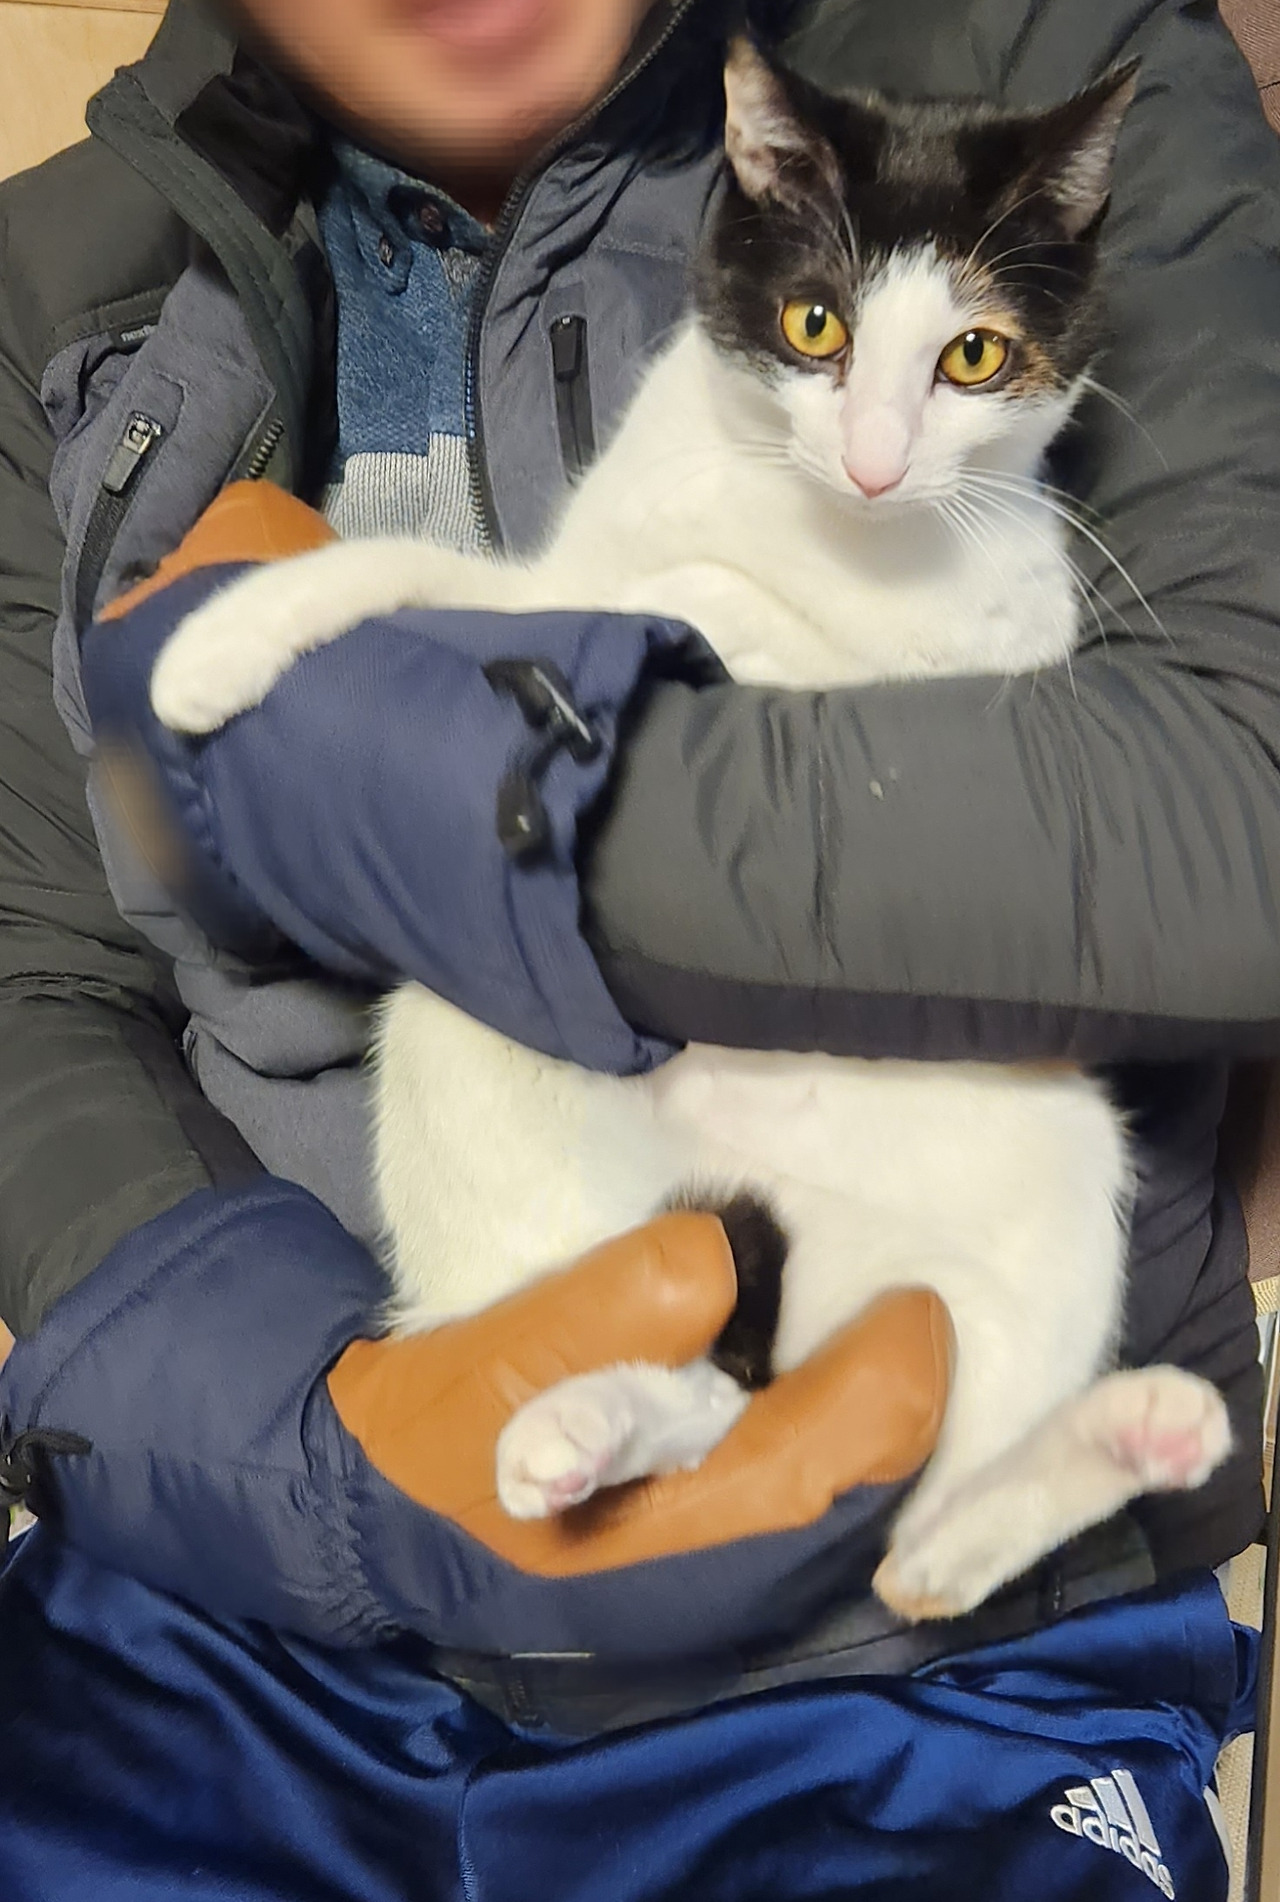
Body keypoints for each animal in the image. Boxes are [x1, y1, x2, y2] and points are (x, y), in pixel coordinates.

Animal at [149, 39, 1231, 1623]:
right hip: (481, 1090)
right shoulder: (602, 570)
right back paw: (579, 1424)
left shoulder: (949, 661)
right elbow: (490, 583)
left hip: (1042, 1158)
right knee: (700, 1387)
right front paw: (225, 627)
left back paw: (1101, 1437)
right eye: (814, 324)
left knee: (903, 1531)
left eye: (973, 355)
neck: (814, 533)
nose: (876, 460)